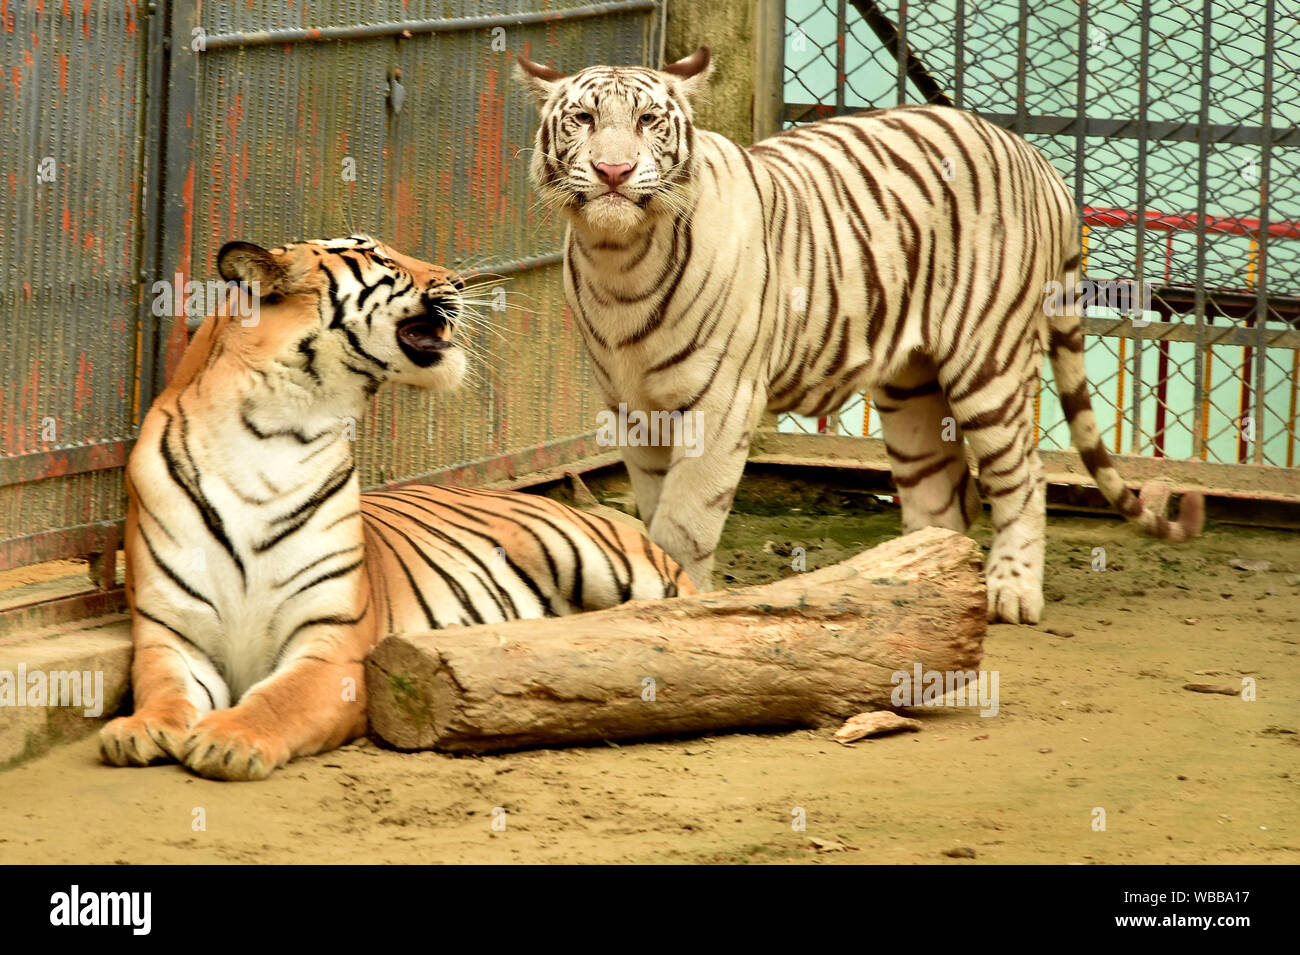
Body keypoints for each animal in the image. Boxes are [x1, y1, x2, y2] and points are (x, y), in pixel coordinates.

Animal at [512, 46, 1201, 628]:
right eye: (583, 119)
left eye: (649, 120)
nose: (614, 169)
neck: (618, 258)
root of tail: (1034, 157)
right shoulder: (633, 407)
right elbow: (653, 511)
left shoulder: (722, 402)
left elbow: (684, 523)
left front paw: (675, 601)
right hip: (912, 387)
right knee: (942, 498)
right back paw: (914, 587)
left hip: (991, 363)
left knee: (1023, 480)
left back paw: (1010, 592)